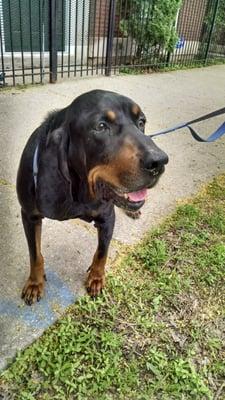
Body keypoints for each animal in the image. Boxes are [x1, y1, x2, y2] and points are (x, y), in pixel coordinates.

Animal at [16, 89, 168, 304]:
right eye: (101, 126)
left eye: (141, 122)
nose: (159, 162)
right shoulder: (29, 216)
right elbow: (35, 254)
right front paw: (35, 283)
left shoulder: (107, 217)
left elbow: (102, 252)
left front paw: (96, 278)